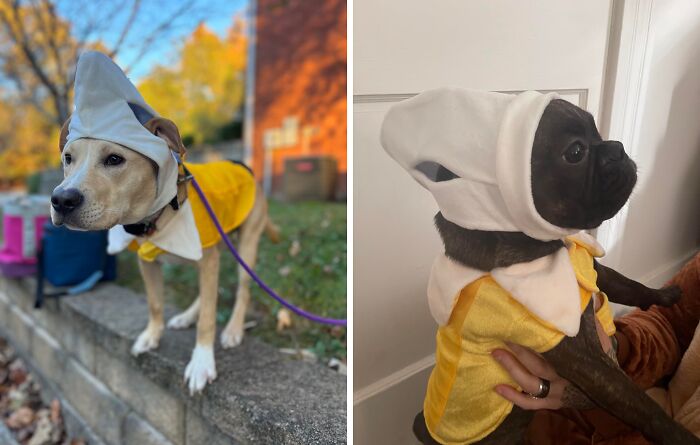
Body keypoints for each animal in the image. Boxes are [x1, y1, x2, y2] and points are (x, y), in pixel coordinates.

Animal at [50, 117, 278, 392]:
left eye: (114, 159)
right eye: (68, 158)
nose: (61, 200)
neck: (158, 215)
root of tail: (244, 167)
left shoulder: (207, 260)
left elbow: (208, 318)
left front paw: (202, 362)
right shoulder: (148, 262)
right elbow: (155, 303)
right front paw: (151, 336)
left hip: (245, 247)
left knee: (242, 291)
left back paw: (233, 330)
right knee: (210, 291)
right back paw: (187, 317)